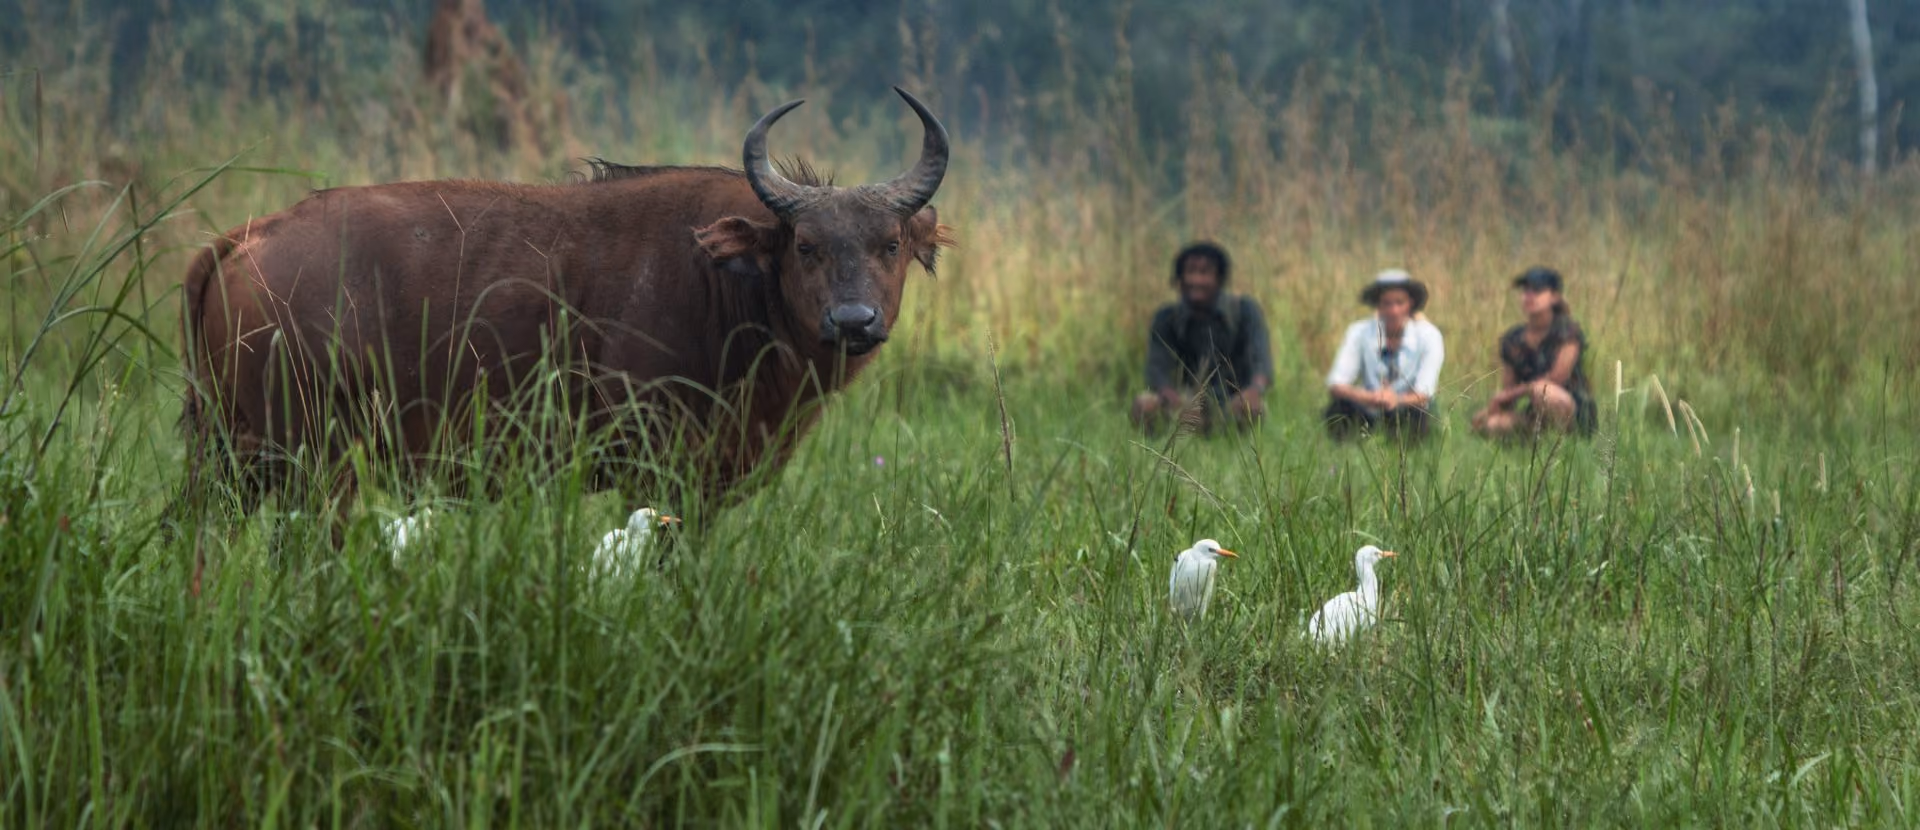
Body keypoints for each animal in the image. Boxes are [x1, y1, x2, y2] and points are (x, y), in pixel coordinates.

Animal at [176, 87, 953, 541]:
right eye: (807, 245)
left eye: (889, 244)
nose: (853, 321)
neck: (730, 288)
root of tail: (246, 236)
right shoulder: (662, 476)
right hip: (313, 461)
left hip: (229, 457)